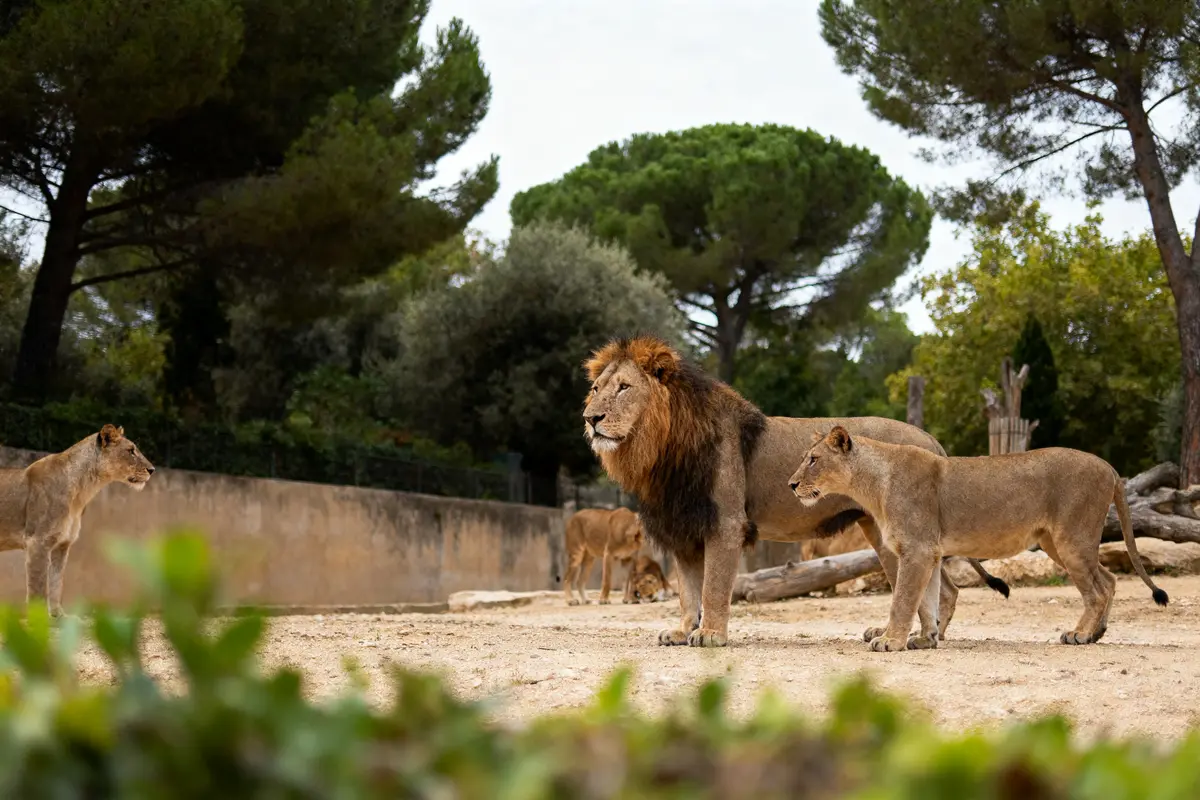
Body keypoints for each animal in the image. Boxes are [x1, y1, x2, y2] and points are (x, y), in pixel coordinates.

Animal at [0, 424, 155, 616]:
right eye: (131, 451)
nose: (152, 470)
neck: (83, 491)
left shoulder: (62, 545)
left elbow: (56, 581)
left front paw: (58, 615)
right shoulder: (37, 541)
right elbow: (39, 588)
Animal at [581, 335, 1009, 647]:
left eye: (623, 388)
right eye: (597, 388)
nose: (590, 418)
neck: (660, 450)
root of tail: (930, 440)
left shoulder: (725, 523)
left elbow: (713, 586)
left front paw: (711, 635)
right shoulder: (683, 528)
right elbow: (687, 590)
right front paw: (684, 630)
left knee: (936, 585)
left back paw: (916, 638)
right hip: (882, 531)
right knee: (945, 587)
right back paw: (921, 636)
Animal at [788, 426, 1168, 652]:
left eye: (813, 459)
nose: (791, 485)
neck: (872, 483)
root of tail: (1110, 467)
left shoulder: (917, 549)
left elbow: (903, 599)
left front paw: (890, 641)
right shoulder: (928, 552)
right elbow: (927, 600)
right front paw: (925, 639)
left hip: (1072, 538)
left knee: (1098, 589)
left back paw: (1082, 634)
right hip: (1057, 543)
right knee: (1110, 578)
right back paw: (1098, 633)